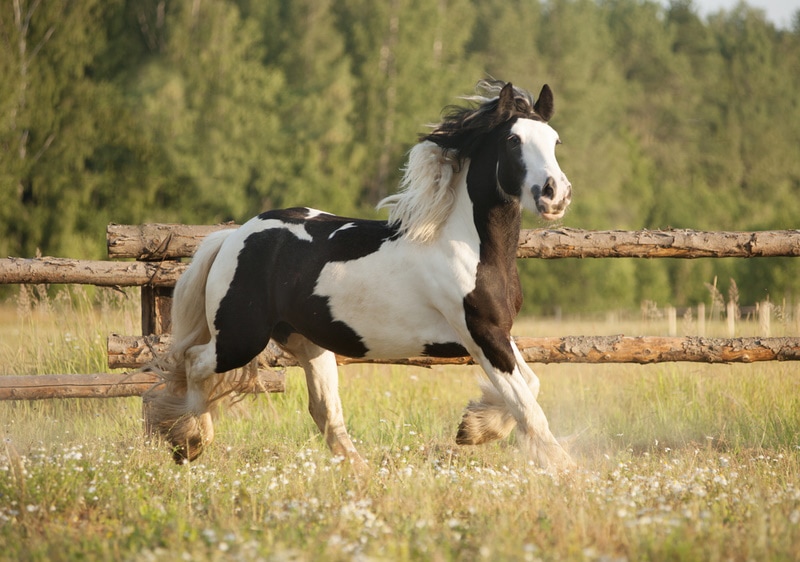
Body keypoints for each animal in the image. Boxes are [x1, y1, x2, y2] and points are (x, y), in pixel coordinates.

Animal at [148, 81, 576, 470]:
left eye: (555, 140)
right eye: (513, 140)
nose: (556, 194)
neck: (470, 248)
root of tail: (234, 236)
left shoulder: (498, 334)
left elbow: (531, 386)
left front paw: (473, 427)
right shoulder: (480, 334)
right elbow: (529, 408)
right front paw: (564, 469)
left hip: (307, 342)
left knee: (323, 408)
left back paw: (358, 470)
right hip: (240, 339)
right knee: (193, 362)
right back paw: (190, 442)